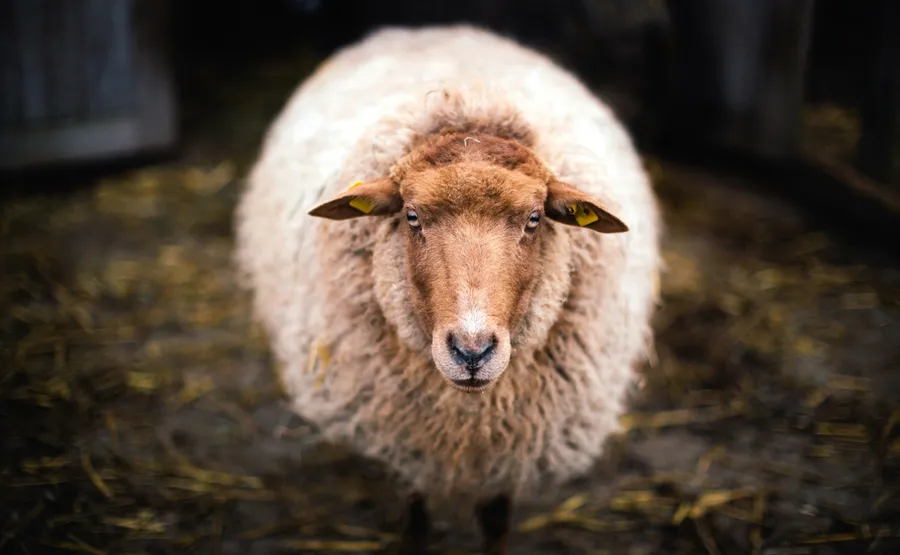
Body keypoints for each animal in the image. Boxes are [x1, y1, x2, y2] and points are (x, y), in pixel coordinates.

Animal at [233, 24, 661, 554]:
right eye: (412, 216)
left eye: (534, 219)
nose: (471, 351)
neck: (469, 417)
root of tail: (430, 29)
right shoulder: (411, 442)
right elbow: (416, 513)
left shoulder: (510, 449)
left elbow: (495, 519)